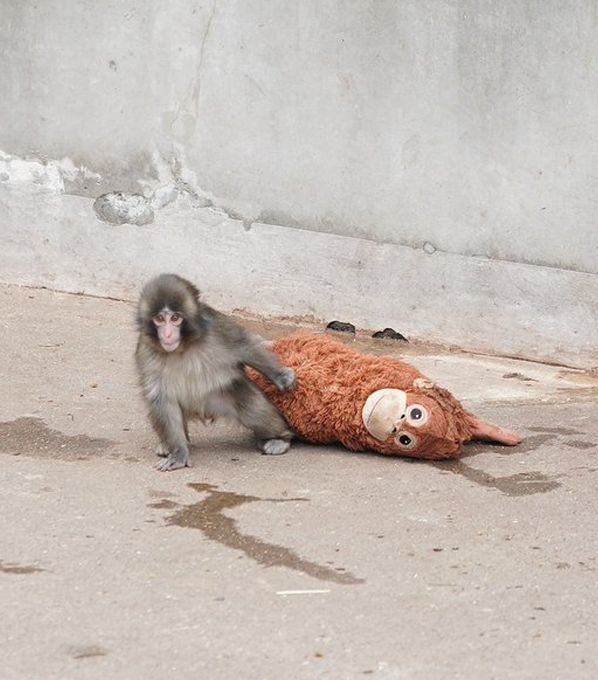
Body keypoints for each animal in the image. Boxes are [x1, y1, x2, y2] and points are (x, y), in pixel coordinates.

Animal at [135, 273, 296, 471]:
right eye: (159, 318)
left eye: (174, 318)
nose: (167, 335)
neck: (182, 348)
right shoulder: (146, 351)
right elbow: (162, 398)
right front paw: (178, 453)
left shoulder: (217, 329)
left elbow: (244, 347)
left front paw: (280, 376)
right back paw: (167, 444)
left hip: (218, 398)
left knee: (251, 408)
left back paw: (280, 438)